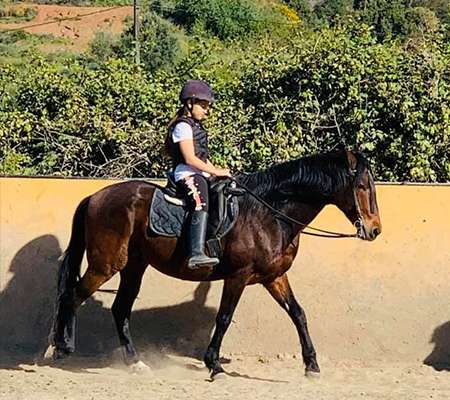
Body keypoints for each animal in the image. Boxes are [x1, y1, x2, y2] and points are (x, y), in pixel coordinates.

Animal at [47, 149, 382, 378]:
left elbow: (298, 314)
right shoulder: (238, 276)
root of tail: (94, 197)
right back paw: (62, 348)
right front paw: (214, 364)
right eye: (362, 187)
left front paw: (311, 365)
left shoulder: (274, 277)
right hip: (106, 265)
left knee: (119, 309)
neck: (268, 214)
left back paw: (135, 362)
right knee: (72, 296)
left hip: (133, 266)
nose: (375, 229)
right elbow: (224, 317)